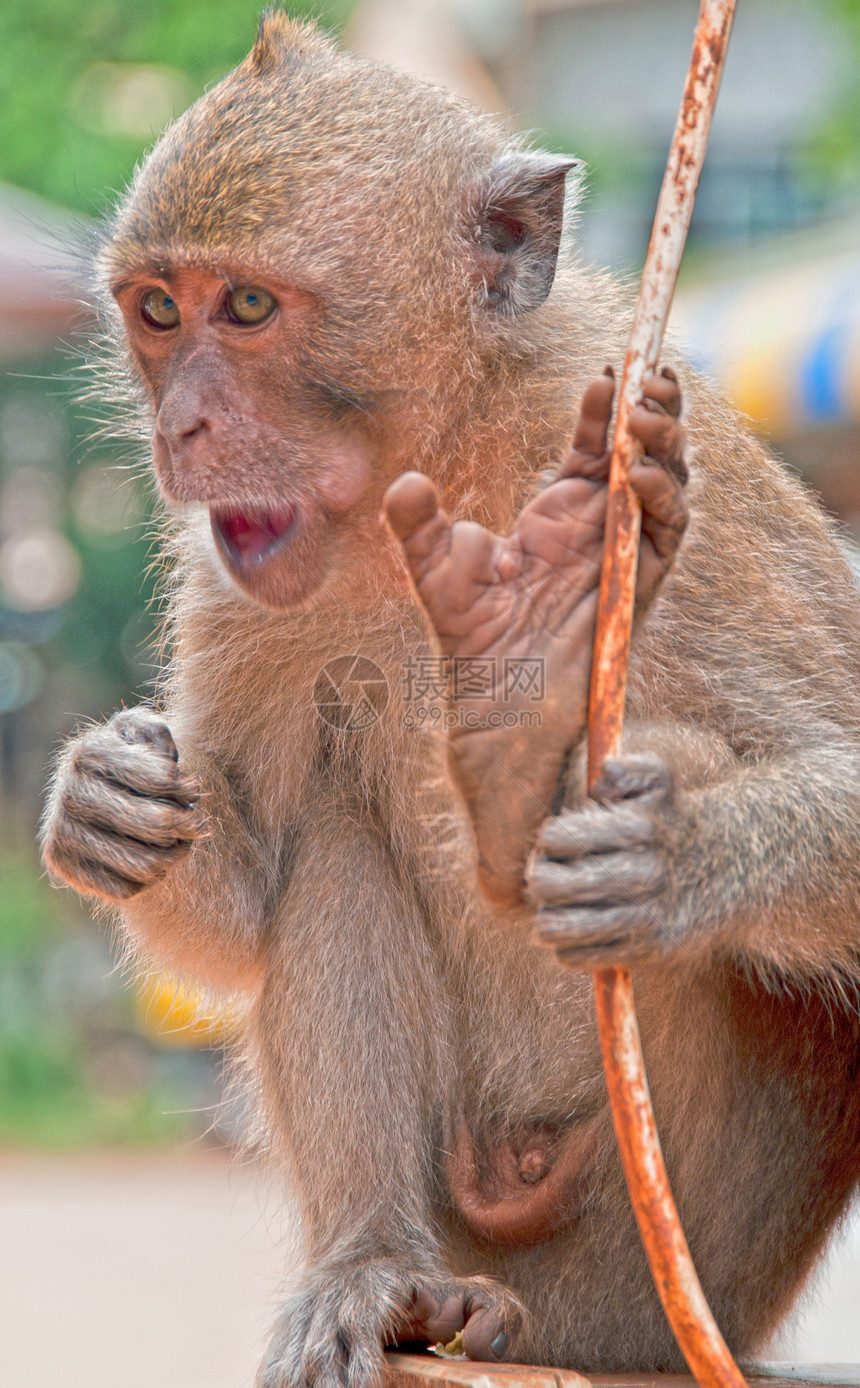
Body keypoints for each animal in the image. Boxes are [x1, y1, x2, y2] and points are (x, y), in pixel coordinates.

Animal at [40, 13, 860, 1388]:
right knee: (333, 840)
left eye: (247, 306)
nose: (182, 426)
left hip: (655, 1262)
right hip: (485, 1222)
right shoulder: (230, 585)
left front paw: (679, 851)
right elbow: (245, 908)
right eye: (157, 311)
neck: (445, 456)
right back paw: (384, 1271)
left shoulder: (667, 479)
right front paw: (100, 804)